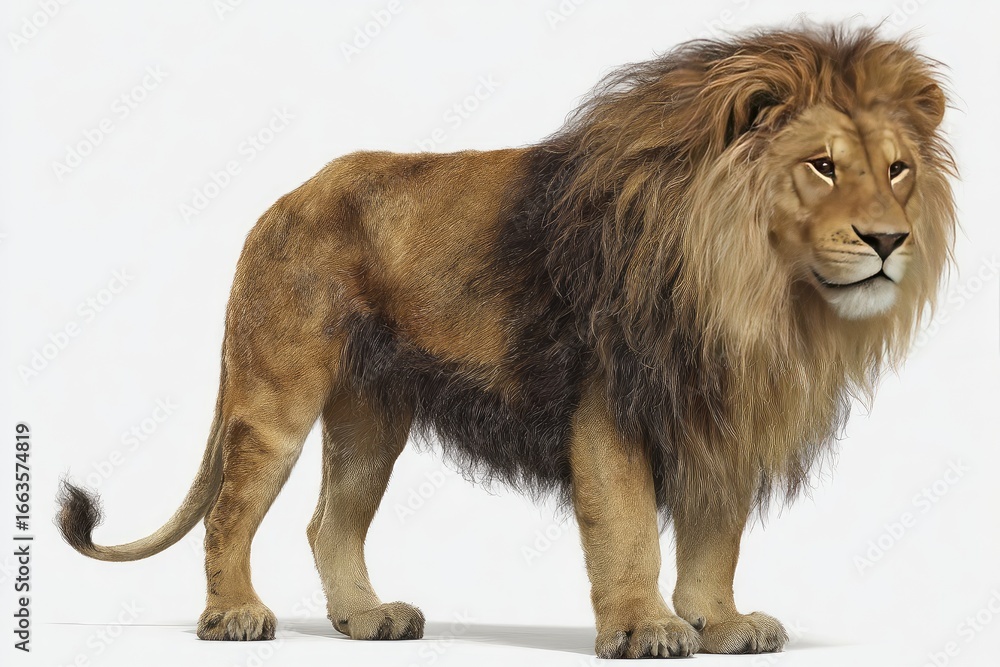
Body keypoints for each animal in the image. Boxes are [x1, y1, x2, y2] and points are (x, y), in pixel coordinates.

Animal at [57, 25, 956, 658]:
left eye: (898, 169)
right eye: (823, 166)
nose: (889, 240)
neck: (756, 295)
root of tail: (283, 200)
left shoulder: (719, 410)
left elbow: (716, 535)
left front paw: (720, 622)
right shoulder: (609, 404)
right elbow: (629, 525)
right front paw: (647, 627)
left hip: (371, 421)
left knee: (329, 522)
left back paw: (367, 617)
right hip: (276, 397)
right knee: (230, 512)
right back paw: (233, 614)